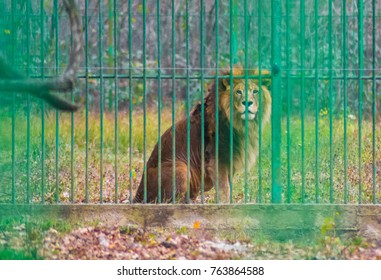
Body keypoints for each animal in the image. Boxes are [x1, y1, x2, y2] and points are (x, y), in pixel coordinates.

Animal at [134, 66, 270, 202]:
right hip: (180, 168)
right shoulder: (216, 161)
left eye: (255, 92)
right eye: (238, 92)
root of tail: (138, 193)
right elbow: (224, 189)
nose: (247, 103)